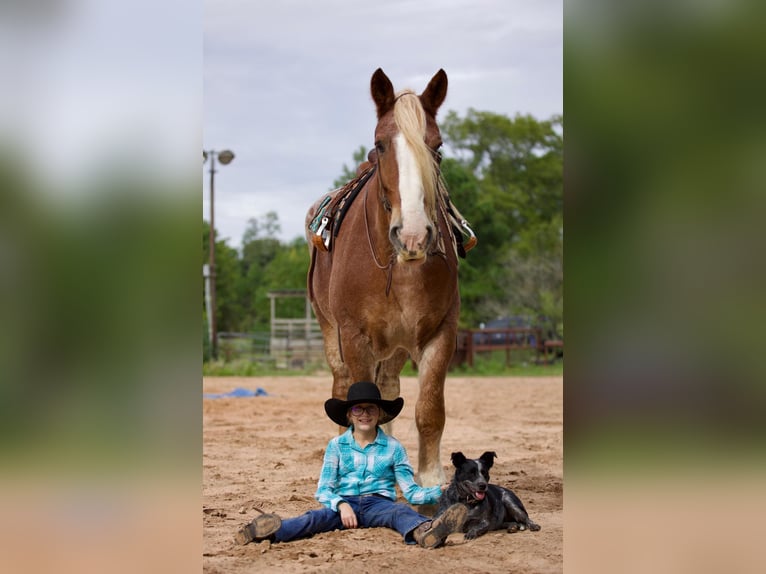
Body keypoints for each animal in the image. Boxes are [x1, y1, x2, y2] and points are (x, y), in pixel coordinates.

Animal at [306, 68, 462, 490]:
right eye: (379, 144)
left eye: (437, 147)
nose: (413, 234)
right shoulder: (354, 338)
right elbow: (359, 399)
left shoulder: (441, 332)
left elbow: (429, 410)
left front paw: (430, 479)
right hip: (331, 332)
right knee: (342, 385)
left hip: (395, 347)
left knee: (389, 389)